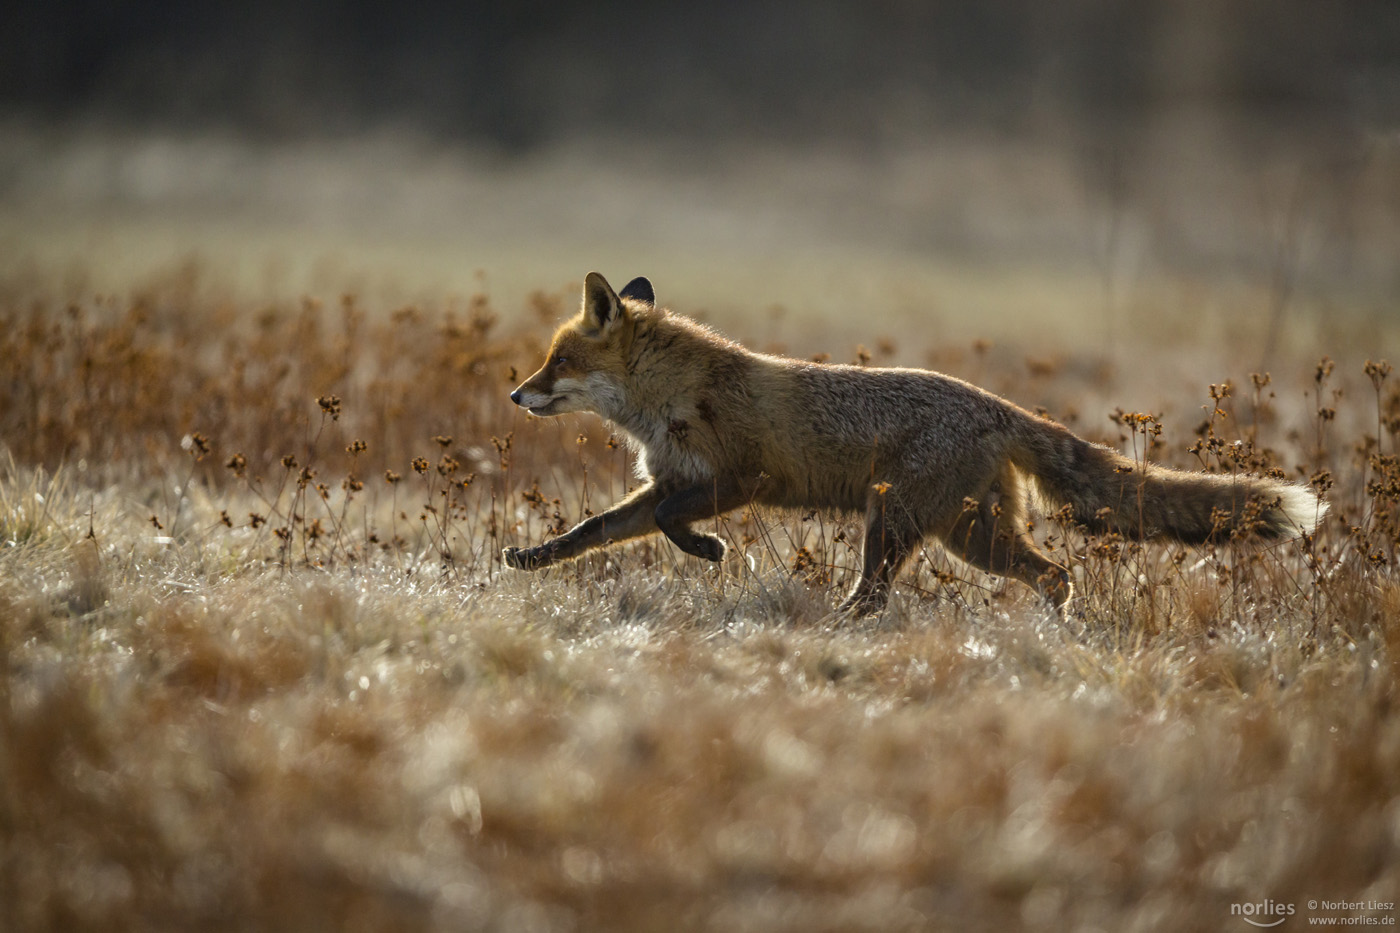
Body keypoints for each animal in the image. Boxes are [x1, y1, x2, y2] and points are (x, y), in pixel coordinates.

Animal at [504, 273, 1321, 613]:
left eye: (558, 361)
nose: (515, 396)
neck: (669, 397)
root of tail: (999, 406)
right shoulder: (671, 479)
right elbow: (592, 530)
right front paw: (530, 558)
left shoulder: (741, 477)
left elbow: (678, 523)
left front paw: (711, 552)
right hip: (970, 532)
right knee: (1054, 574)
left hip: (898, 524)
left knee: (874, 596)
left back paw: (832, 630)